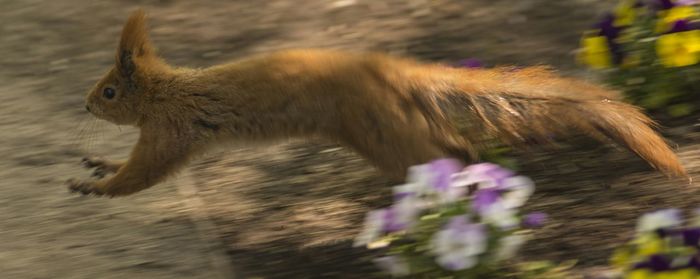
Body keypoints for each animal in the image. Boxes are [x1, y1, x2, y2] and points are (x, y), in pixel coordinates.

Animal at [67, 10, 688, 197]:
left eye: (110, 91)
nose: (86, 106)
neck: (166, 91)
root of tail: (387, 71)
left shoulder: (171, 132)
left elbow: (143, 172)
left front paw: (97, 185)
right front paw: (98, 163)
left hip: (379, 132)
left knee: (441, 153)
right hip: (389, 126)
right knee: (451, 144)